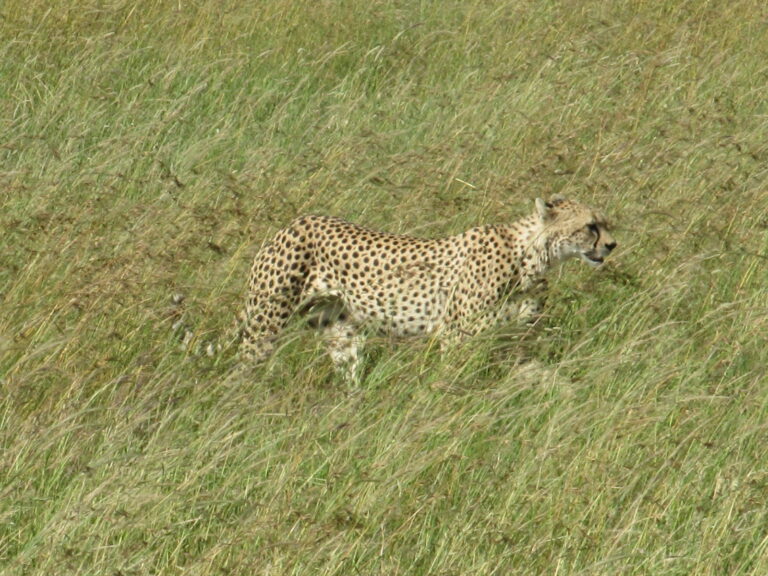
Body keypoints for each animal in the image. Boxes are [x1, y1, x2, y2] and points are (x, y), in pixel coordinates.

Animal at [242, 196, 616, 380]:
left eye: (606, 223)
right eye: (590, 226)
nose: (612, 245)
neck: (532, 256)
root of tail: (298, 220)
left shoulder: (515, 343)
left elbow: (543, 375)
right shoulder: (457, 337)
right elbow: (453, 380)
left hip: (338, 329)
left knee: (347, 370)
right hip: (265, 324)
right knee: (246, 368)